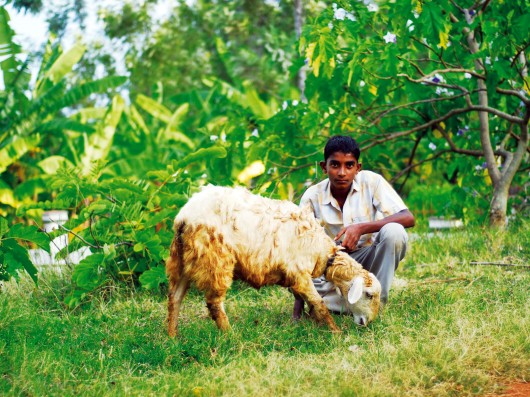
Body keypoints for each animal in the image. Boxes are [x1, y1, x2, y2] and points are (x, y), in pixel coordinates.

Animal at [165, 184, 380, 336]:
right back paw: (229, 335)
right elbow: (318, 302)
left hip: (181, 259)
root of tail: (185, 216)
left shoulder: (294, 277)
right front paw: (335, 331)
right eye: (369, 295)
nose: (368, 323)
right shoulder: (300, 273)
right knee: (214, 303)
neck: (323, 252)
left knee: (174, 298)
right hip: (215, 259)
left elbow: (307, 301)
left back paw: (173, 337)